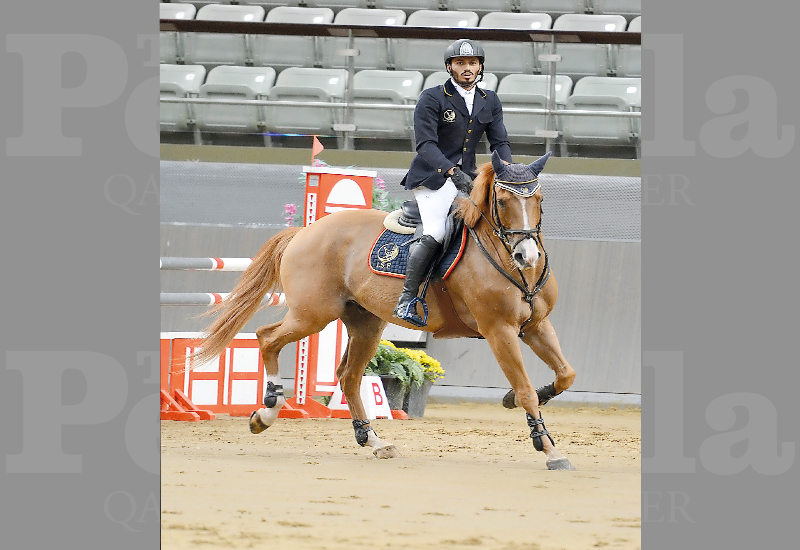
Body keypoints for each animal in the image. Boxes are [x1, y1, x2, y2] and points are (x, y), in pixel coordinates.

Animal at [197, 153, 580, 472]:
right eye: (502, 201)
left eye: (539, 201)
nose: (527, 257)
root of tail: (305, 230)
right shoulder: (498, 330)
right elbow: (526, 389)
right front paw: (550, 451)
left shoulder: (535, 326)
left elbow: (566, 374)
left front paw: (516, 400)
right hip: (313, 315)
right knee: (268, 338)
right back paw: (266, 413)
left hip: (366, 324)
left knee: (349, 377)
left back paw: (374, 441)